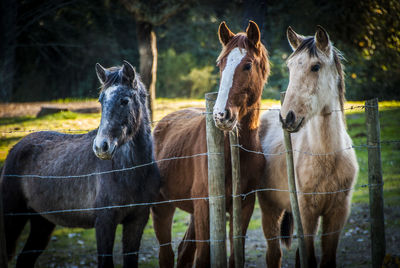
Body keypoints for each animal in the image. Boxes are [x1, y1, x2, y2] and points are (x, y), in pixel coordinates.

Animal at [1, 61, 161, 268]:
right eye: (101, 100)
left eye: (124, 100)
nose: (101, 147)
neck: (129, 171)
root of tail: (15, 148)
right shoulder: (104, 222)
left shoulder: (137, 220)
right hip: (12, 217)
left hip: (42, 221)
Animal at [152, 21, 270, 268]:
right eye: (220, 64)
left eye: (247, 65)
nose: (221, 115)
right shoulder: (205, 204)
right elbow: (204, 256)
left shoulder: (244, 205)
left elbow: (235, 256)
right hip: (162, 207)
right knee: (167, 255)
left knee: (184, 252)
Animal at [258, 25, 358, 268]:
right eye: (290, 66)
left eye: (315, 66)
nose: (287, 117)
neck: (327, 156)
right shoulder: (307, 215)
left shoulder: (337, 215)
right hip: (269, 208)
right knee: (273, 254)